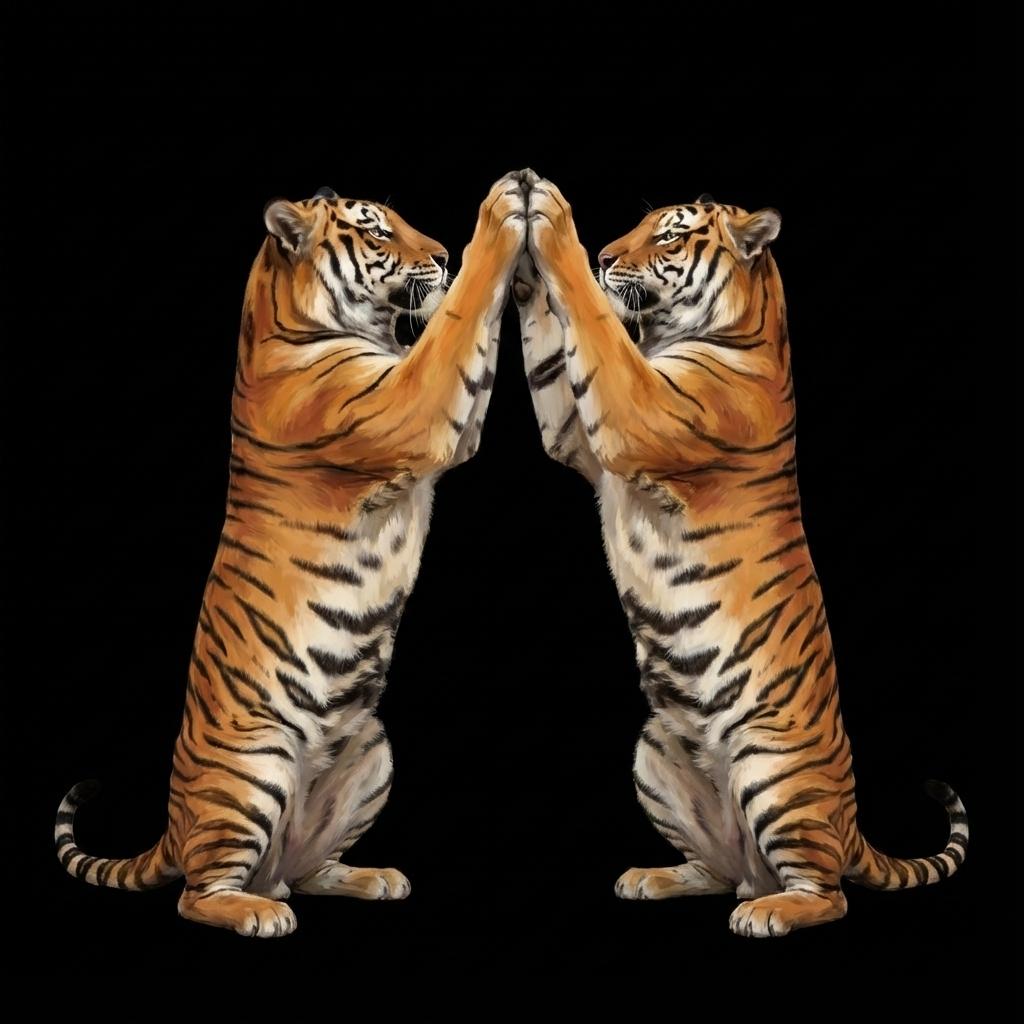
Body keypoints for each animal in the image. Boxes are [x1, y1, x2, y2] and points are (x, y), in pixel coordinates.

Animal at [54, 171, 530, 937]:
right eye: (376, 230)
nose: (438, 254)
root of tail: (173, 825)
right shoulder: (408, 406)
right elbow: (457, 322)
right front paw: (502, 212)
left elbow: (468, 340)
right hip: (252, 769)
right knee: (197, 892)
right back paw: (255, 912)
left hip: (370, 756)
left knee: (305, 871)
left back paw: (370, 877)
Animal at [513, 177, 968, 937]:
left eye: (667, 235)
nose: (608, 255)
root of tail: (850, 824)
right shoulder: (581, 438)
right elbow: (553, 348)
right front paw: (520, 267)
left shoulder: (636, 411)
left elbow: (596, 327)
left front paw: (551, 222)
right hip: (656, 754)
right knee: (722, 872)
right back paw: (656, 877)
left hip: (772, 769)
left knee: (829, 893)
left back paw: (771, 913)